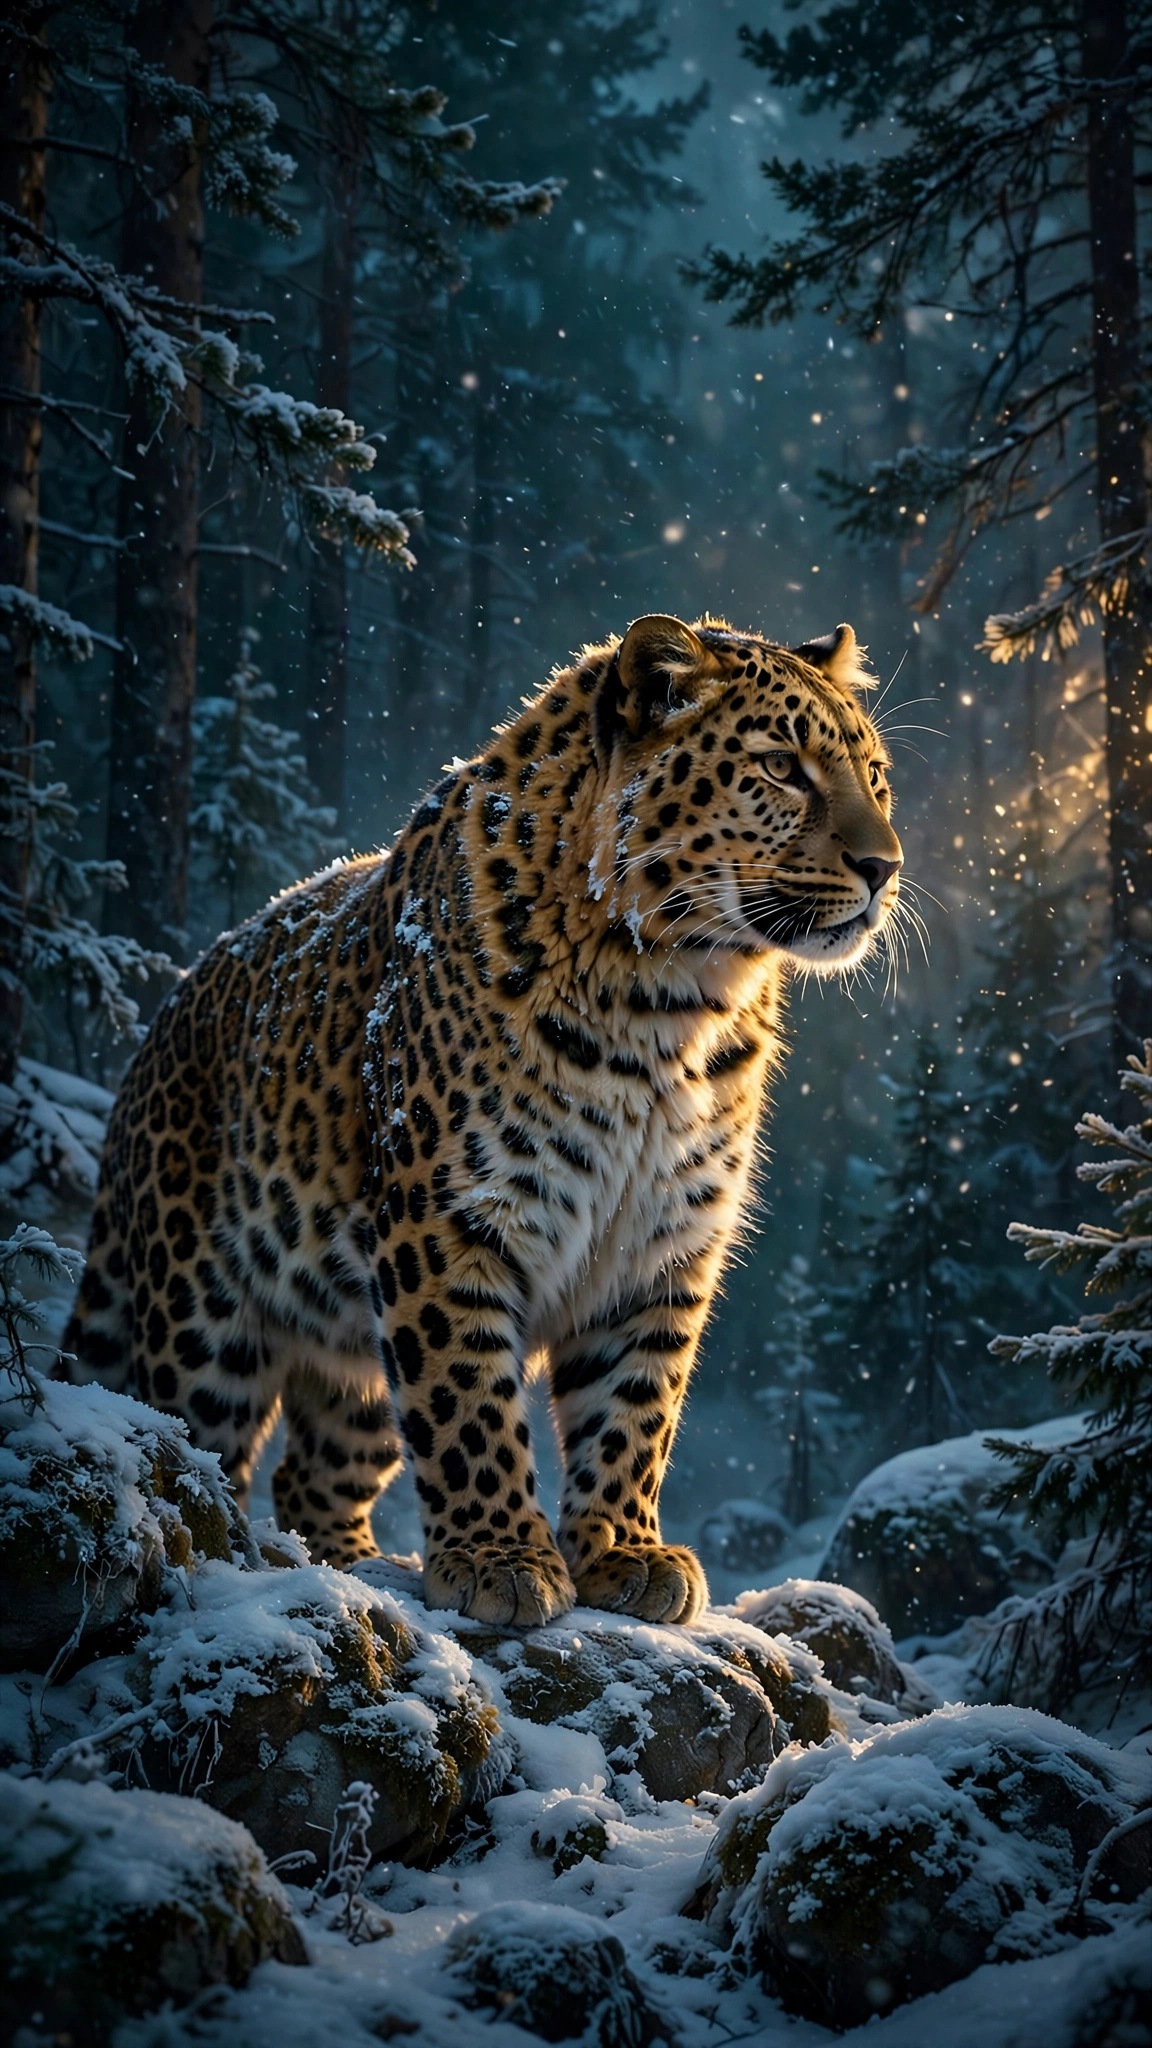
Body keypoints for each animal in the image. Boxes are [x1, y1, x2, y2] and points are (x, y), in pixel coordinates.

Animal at [65, 612, 903, 1628]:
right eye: (782, 767)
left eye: (874, 775)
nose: (885, 866)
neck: (675, 1004)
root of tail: (156, 1030)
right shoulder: (451, 1222)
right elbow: (468, 1399)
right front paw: (502, 1560)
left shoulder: (662, 1242)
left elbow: (636, 1404)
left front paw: (625, 1551)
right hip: (203, 1318)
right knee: (190, 1448)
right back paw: (231, 1559)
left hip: (352, 1354)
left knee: (315, 1472)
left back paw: (345, 1563)